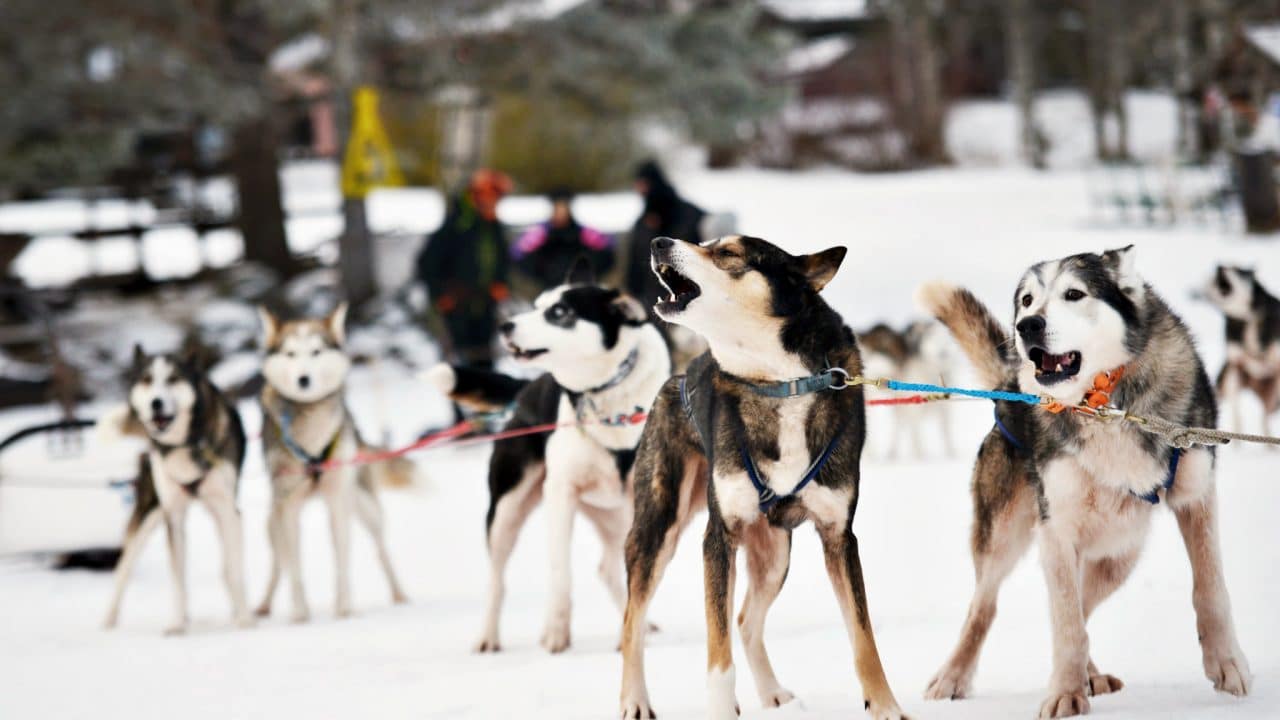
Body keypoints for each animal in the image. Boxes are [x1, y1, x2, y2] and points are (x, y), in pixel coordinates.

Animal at [253, 301, 404, 617]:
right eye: (290, 354)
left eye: (316, 351)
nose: (303, 379)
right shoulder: (289, 506)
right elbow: (295, 567)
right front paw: (300, 613)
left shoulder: (337, 501)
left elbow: (342, 558)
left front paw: (343, 608)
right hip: (273, 521)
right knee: (279, 564)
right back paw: (264, 604)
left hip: (365, 506)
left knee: (381, 549)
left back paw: (400, 594)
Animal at [427, 256, 675, 650]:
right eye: (537, 304)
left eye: (559, 312)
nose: (506, 325)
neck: (612, 405)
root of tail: (527, 388)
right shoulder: (561, 495)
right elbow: (561, 572)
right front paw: (556, 632)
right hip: (506, 511)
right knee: (497, 580)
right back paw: (488, 637)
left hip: (618, 515)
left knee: (610, 568)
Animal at [619, 235, 911, 717]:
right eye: (707, 243)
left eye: (727, 254)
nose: (659, 241)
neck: (782, 384)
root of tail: (676, 378)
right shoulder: (720, 537)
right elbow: (718, 650)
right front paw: (721, 710)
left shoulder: (839, 536)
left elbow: (863, 638)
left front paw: (886, 707)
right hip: (656, 532)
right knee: (632, 623)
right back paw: (634, 701)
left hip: (774, 555)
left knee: (746, 620)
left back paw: (772, 693)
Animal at [921, 243, 1249, 712]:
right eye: (1027, 300)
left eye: (1074, 294)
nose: (1027, 325)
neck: (1103, 403)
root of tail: (1006, 387)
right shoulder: (1056, 528)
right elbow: (1066, 623)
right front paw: (1065, 693)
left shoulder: (1195, 497)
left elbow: (1210, 588)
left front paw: (1227, 663)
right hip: (1006, 534)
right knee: (986, 608)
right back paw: (953, 676)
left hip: (1118, 552)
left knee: (1084, 604)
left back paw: (1091, 674)